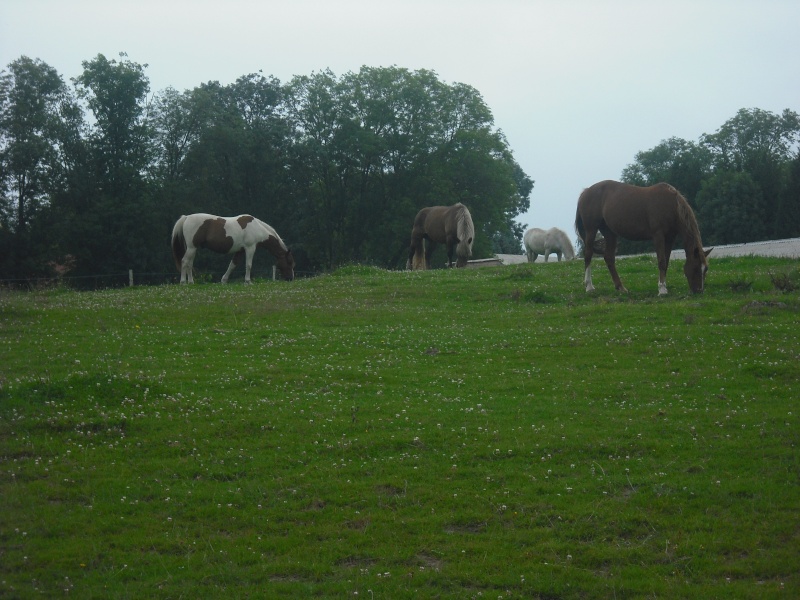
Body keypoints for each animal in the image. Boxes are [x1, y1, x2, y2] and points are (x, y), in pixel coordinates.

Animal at [576, 182, 712, 296]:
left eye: (705, 269)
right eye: (696, 268)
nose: (699, 290)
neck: (671, 205)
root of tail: (585, 192)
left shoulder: (670, 238)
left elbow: (666, 262)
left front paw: (663, 286)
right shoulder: (658, 236)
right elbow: (661, 261)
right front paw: (662, 289)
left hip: (610, 233)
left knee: (609, 258)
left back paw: (621, 287)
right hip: (591, 230)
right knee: (588, 255)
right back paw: (589, 286)